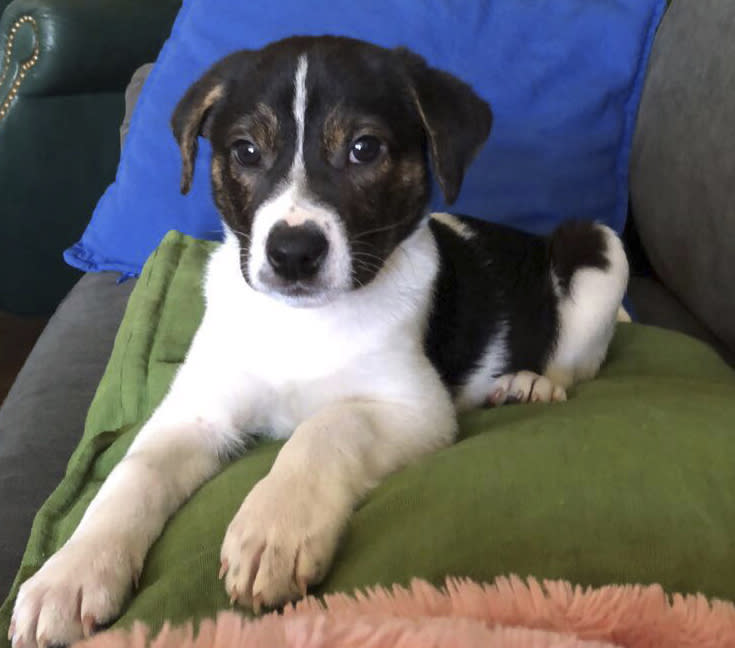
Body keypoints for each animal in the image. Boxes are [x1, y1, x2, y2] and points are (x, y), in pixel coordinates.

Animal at [10, 36, 628, 648]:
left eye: (364, 149)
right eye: (246, 151)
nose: (293, 254)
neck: (302, 322)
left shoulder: (415, 407)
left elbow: (328, 425)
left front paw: (273, 528)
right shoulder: (196, 412)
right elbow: (131, 475)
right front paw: (69, 574)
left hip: (599, 249)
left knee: (575, 363)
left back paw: (528, 384)